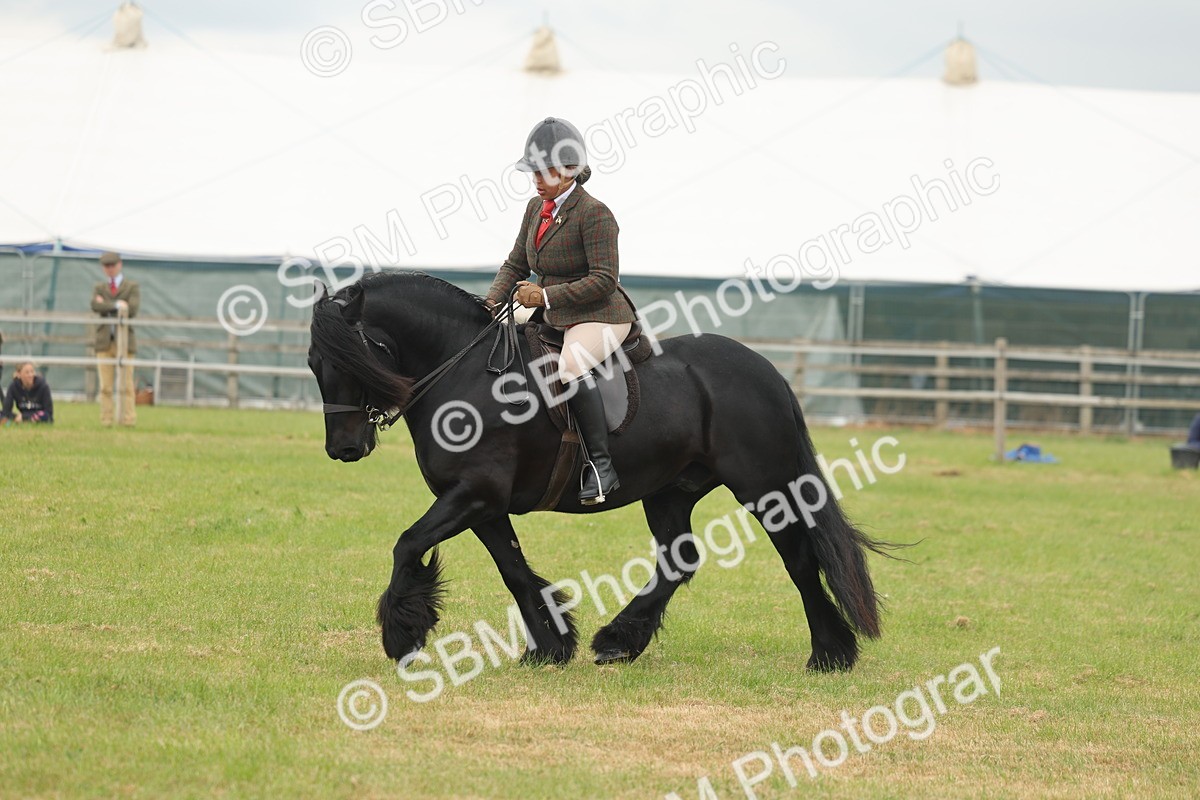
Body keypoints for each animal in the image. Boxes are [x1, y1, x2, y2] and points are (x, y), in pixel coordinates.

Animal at [308, 272, 892, 671]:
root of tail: (764, 369)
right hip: (670, 492)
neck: (466, 373)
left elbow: (407, 543)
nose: (345, 448)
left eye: (353, 357)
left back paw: (829, 654)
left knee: (799, 559)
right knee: (679, 560)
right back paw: (619, 641)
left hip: (765, 487)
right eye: (315, 363)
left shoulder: (473, 495)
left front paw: (401, 636)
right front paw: (549, 646)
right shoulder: (481, 505)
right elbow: (512, 569)